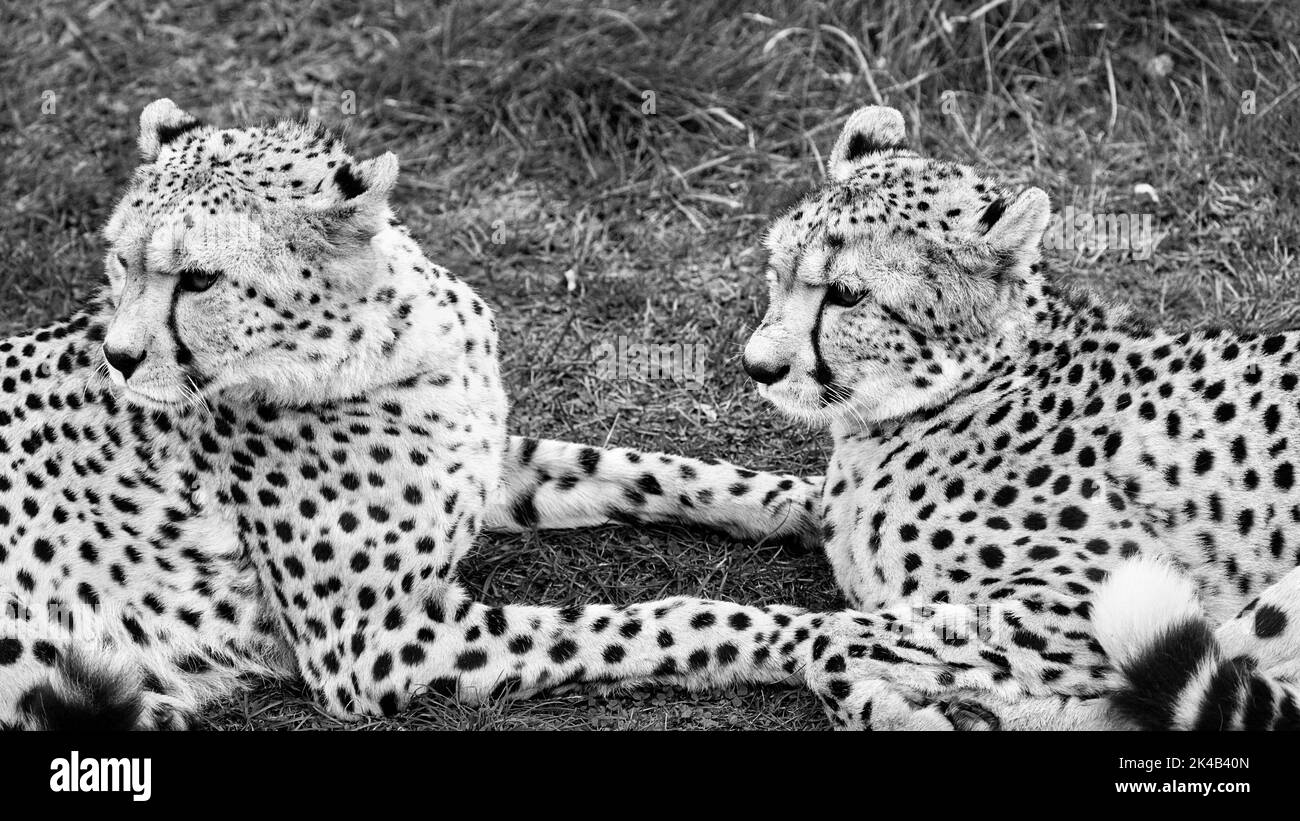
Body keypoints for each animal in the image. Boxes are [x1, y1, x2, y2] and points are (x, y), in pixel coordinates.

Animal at [0, 99, 826, 727]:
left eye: (200, 278)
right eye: (121, 259)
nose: (118, 356)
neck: (393, 341)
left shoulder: (493, 465)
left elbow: (653, 469)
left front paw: (819, 507)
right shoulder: (374, 646)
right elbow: (651, 620)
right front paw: (828, 639)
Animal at [743, 105, 1300, 727]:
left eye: (845, 293)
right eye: (778, 269)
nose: (756, 366)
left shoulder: (1096, 600)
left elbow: (831, 639)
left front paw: (905, 712)